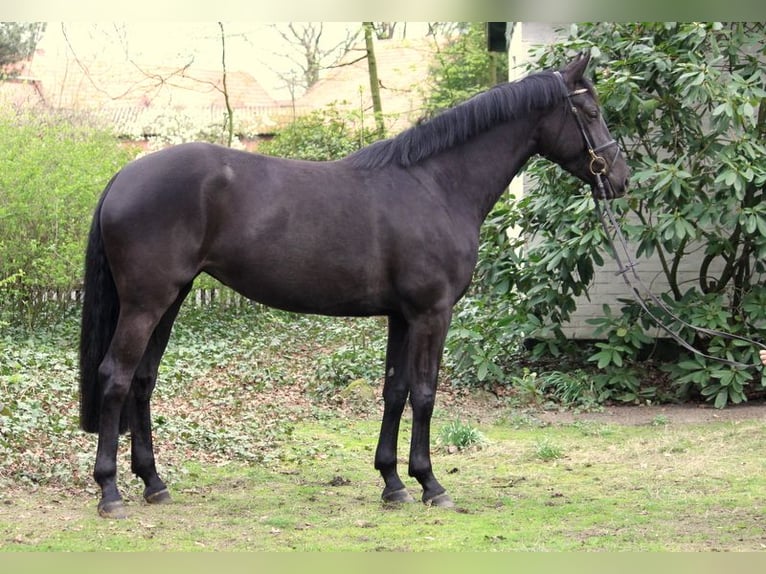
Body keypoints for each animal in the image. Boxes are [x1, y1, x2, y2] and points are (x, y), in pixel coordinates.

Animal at [78, 54, 632, 520]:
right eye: (590, 109)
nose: (620, 179)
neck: (435, 185)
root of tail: (123, 176)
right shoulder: (432, 313)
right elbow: (426, 393)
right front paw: (431, 484)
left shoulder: (403, 316)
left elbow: (395, 390)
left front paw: (393, 482)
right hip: (146, 303)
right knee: (115, 377)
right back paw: (110, 492)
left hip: (170, 300)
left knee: (143, 380)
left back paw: (154, 483)